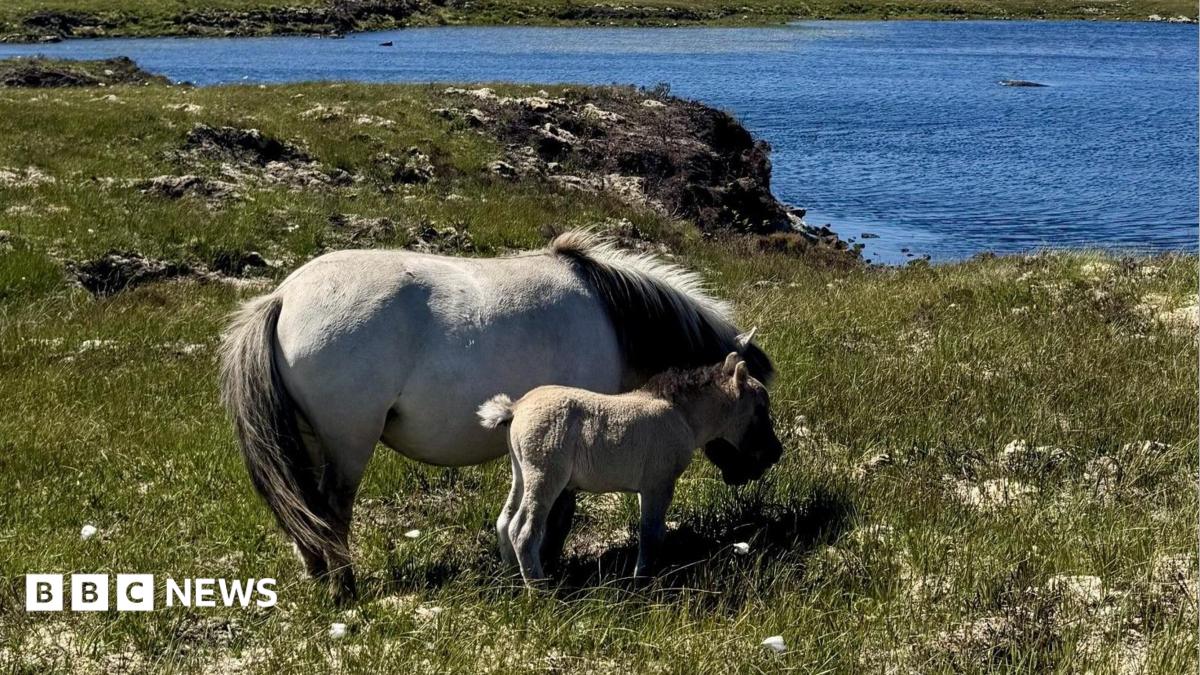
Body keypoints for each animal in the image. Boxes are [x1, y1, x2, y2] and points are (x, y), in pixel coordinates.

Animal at [478, 352, 782, 585]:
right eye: (760, 409)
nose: (776, 452)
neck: (681, 414)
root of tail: (516, 407)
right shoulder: (658, 484)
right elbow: (651, 534)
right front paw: (641, 583)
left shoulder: (646, 488)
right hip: (545, 477)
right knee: (524, 531)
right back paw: (538, 590)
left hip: (521, 473)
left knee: (504, 521)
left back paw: (512, 580)